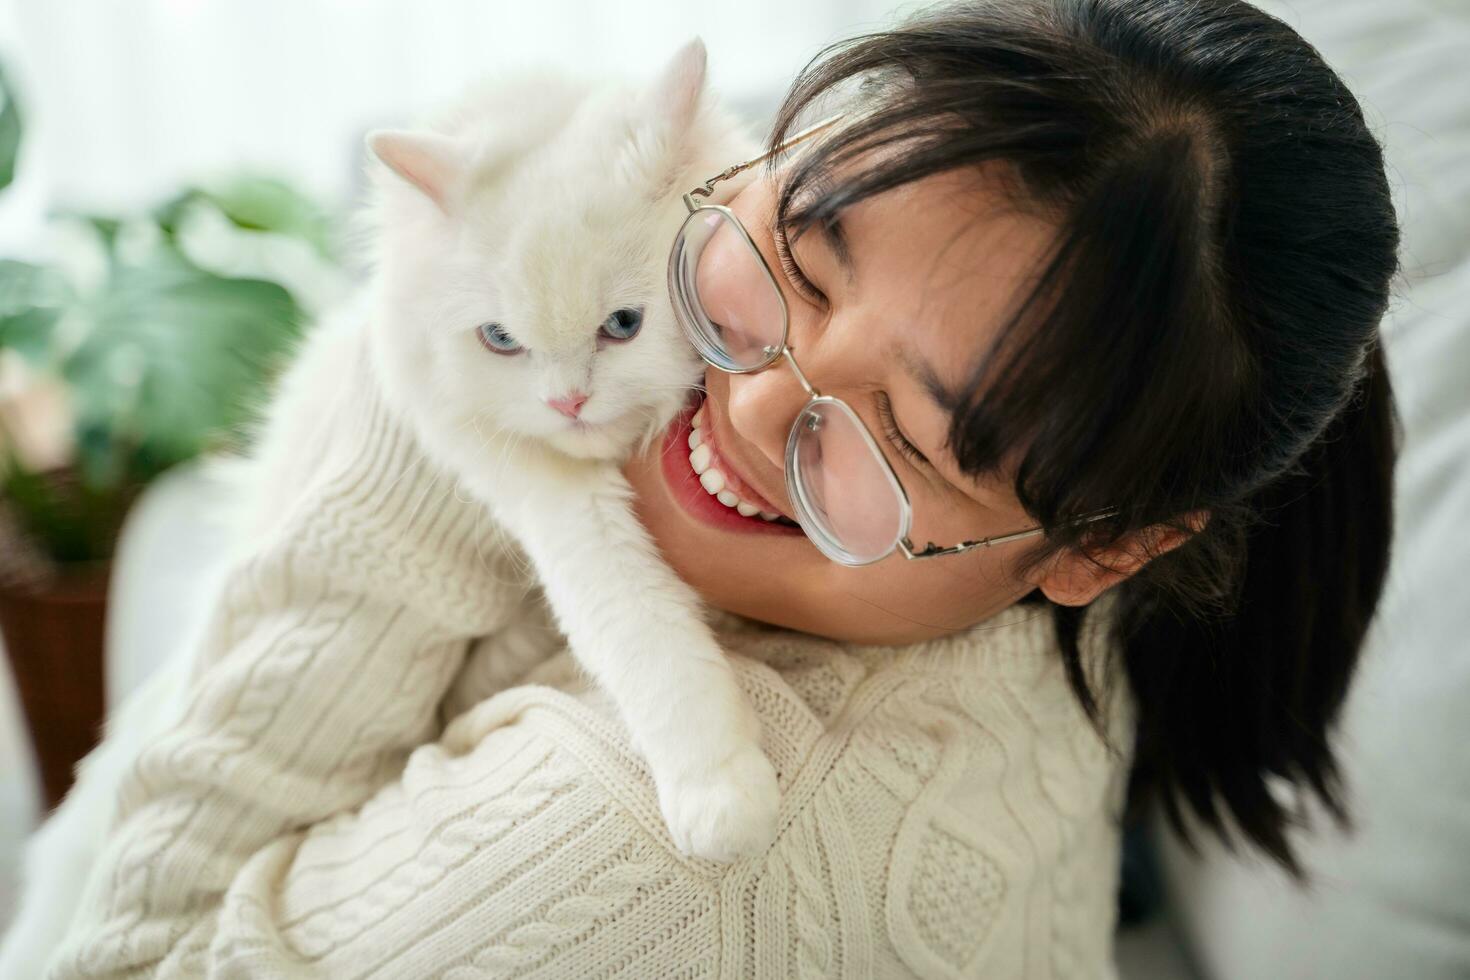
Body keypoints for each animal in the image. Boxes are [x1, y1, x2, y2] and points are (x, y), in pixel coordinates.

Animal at [0, 42, 776, 975]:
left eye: (623, 325)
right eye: (501, 342)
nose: (566, 404)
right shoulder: (522, 478)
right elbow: (637, 628)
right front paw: (722, 795)